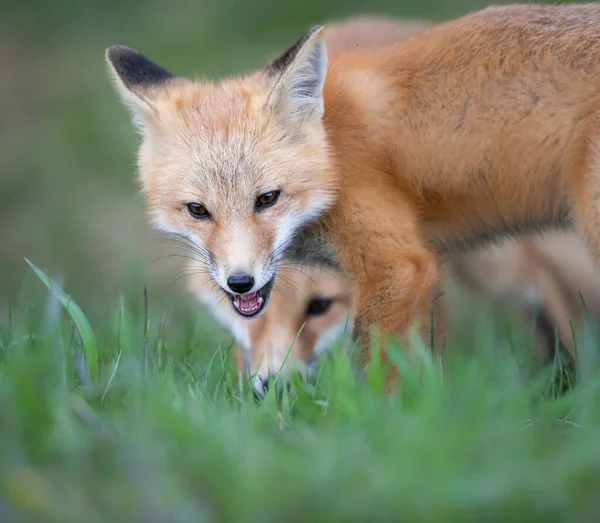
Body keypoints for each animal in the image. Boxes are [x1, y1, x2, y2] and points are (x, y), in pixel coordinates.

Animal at [106, 2, 600, 374]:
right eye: (197, 210)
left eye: (267, 199)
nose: (240, 282)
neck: (334, 161)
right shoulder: (421, 273)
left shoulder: (399, 265)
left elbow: (376, 368)